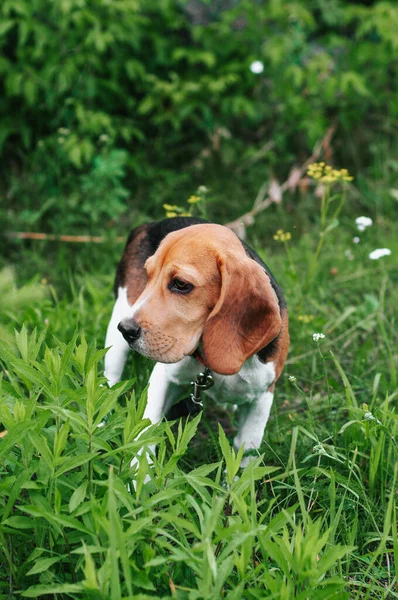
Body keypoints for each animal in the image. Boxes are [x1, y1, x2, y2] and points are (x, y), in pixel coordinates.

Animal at [103, 218, 290, 472]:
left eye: (181, 284)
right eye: (148, 275)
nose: (126, 329)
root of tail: (149, 224)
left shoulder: (262, 397)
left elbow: (245, 454)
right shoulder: (163, 376)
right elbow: (147, 430)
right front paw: (140, 477)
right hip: (118, 328)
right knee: (109, 380)